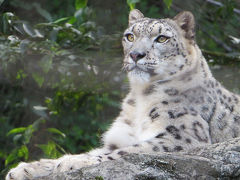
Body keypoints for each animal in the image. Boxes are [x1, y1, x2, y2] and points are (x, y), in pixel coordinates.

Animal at [5, 8, 240, 180]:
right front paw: (25, 169)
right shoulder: (118, 138)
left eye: (162, 38)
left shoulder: (180, 138)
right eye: (130, 36)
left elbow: (128, 152)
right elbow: (99, 151)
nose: (136, 54)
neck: (142, 97)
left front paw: (73, 163)